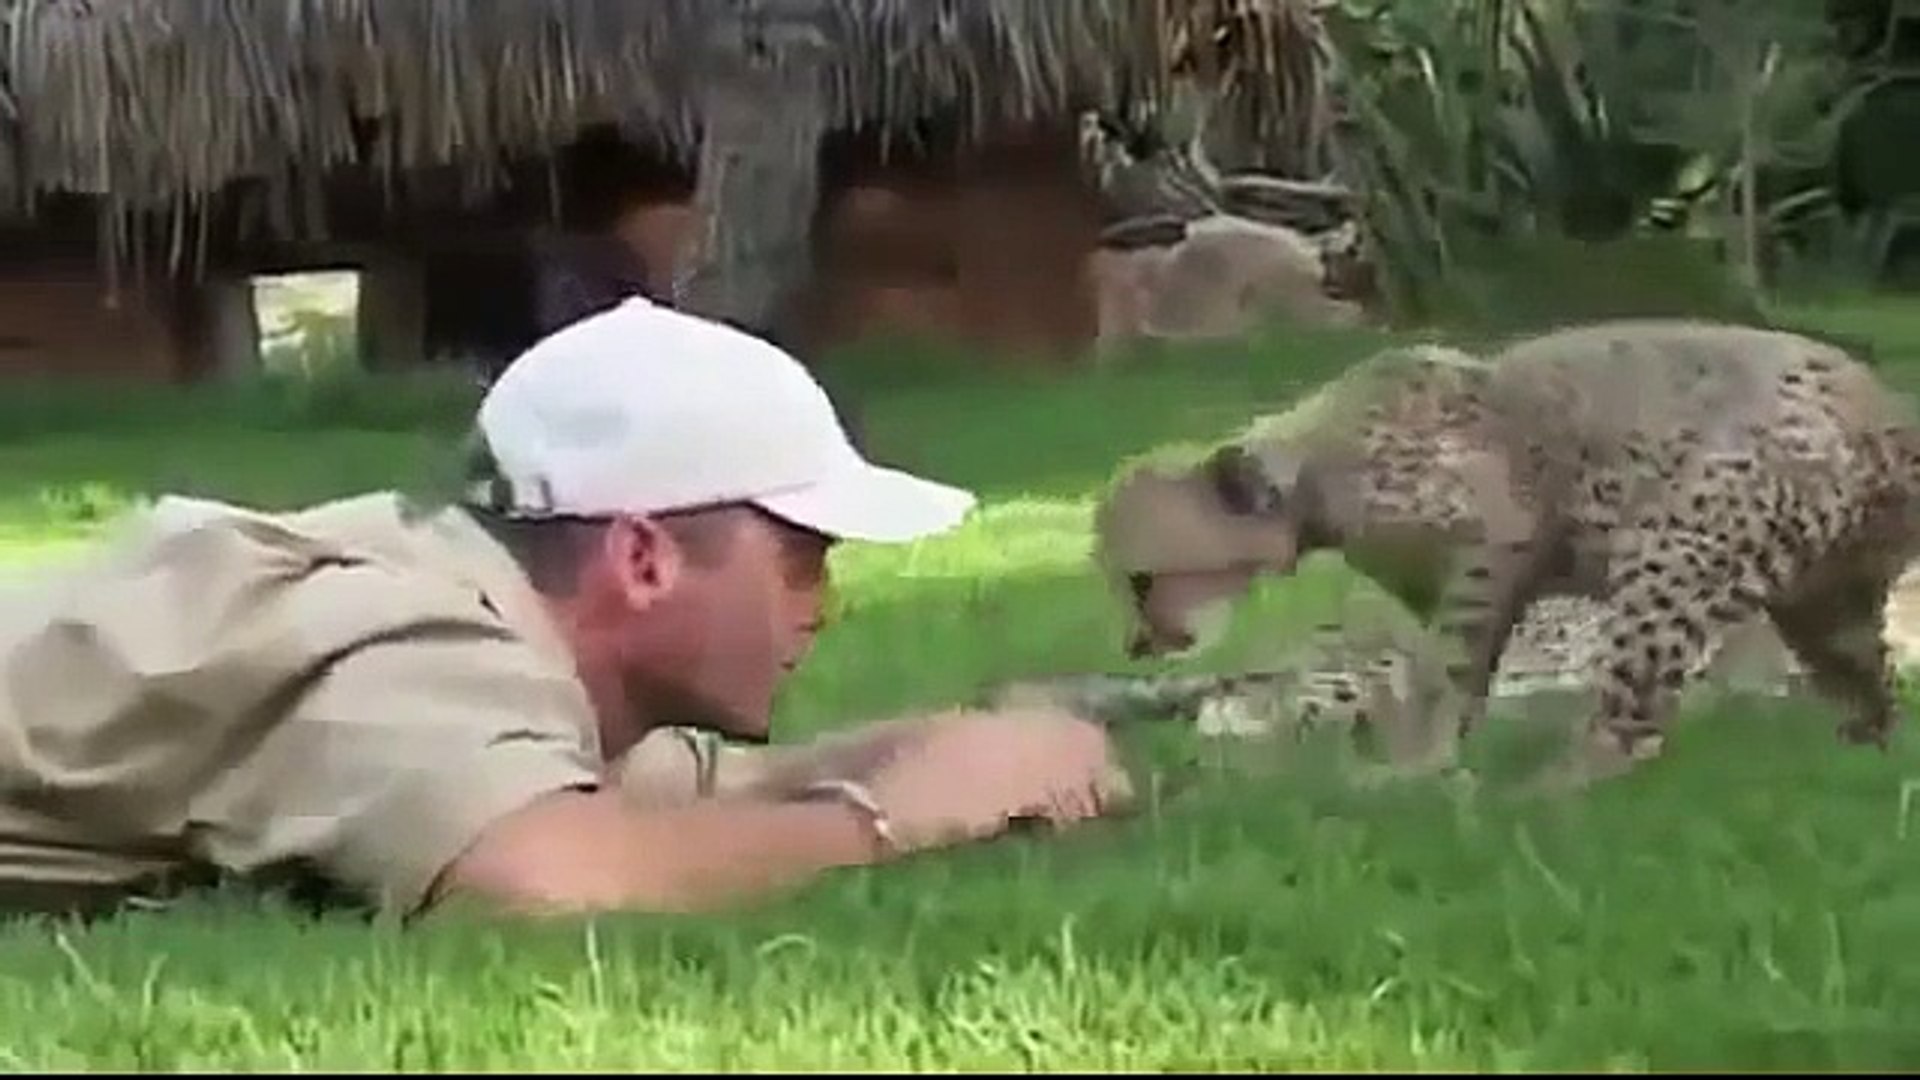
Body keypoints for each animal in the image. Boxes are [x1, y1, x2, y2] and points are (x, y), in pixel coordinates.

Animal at [1091, 319, 1920, 787]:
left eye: (1142, 581)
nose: (1134, 644)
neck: (1318, 463)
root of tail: (1882, 403)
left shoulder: (1490, 548)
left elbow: (1446, 671)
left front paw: (1410, 772)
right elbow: (1441, 671)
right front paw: (1420, 758)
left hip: (1677, 551)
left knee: (1630, 723)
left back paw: (1549, 794)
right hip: (1823, 597)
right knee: (1867, 672)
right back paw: (1865, 748)